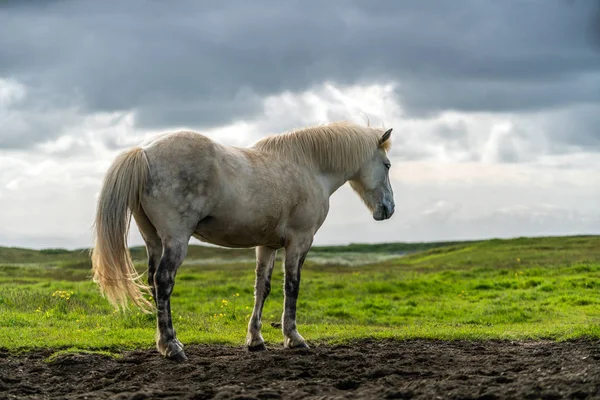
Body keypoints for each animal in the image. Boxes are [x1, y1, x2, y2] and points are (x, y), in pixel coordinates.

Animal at [90, 120, 394, 360]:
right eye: (387, 165)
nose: (388, 209)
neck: (309, 167)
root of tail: (144, 152)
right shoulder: (300, 242)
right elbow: (292, 286)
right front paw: (293, 338)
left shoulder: (267, 245)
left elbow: (263, 288)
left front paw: (255, 340)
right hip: (175, 240)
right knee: (163, 281)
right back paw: (172, 347)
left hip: (153, 240)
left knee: (154, 282)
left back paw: (166, 343)